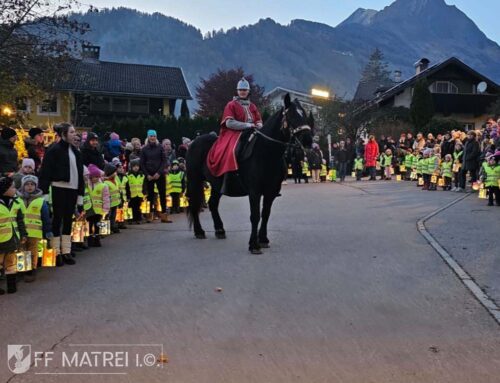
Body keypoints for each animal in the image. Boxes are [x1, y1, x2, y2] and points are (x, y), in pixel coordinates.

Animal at [186, 94, 314, 254]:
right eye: (291, 115)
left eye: (304, 113)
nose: (308, 140)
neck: (266, 153)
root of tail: (194, 142)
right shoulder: (255, 192)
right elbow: (255, 216)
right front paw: (254, 245)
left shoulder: (271, 192)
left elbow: (265, 214)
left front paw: (263, 239)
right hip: (194, 180)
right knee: (194, 203)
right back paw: (199, 231)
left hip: (216, 184)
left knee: (213, 204)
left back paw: (220, 230)